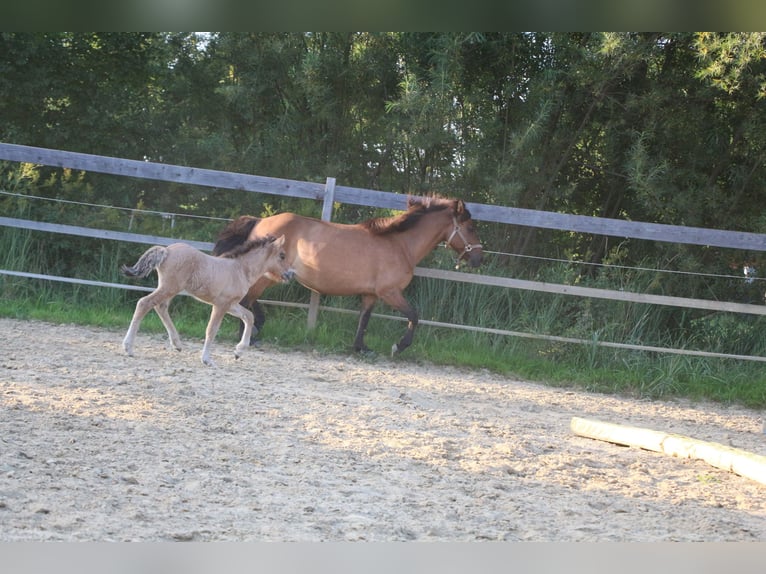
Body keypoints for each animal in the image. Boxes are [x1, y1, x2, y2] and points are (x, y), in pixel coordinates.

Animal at [121, 235, 294, 367]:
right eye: (282, 255)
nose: (290, 274)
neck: (240, 269)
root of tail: (166, 251)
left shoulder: (231, 304)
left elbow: (249, 317)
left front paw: (238, 352)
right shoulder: (221, 305)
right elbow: (212, 330)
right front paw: (206, 360)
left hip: (170, 289)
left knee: (160, 307)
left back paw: (177, 344)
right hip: (170, 287)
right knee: (144, 303)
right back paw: (128, 348)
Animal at [213, 196, 483, 356]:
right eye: (470, 227)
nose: (480, 259)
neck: (399, 244)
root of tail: (260, 221)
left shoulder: (370, 295)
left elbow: (364, 320)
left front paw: (361, 348)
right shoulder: (390, 292)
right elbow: (414, 316)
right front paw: (399, 346)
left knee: (248, 300)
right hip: (267, 275)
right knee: (246, 300)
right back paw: (250, 336)